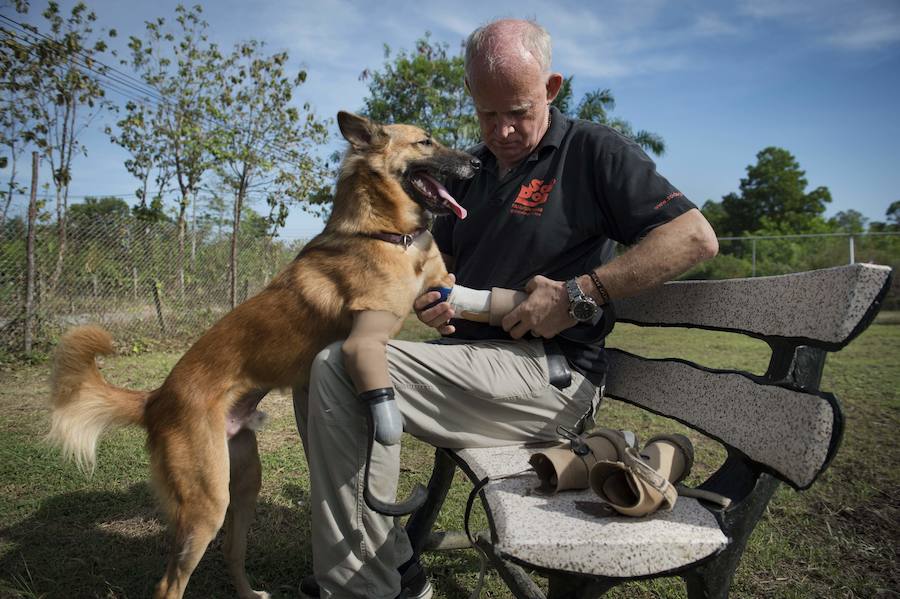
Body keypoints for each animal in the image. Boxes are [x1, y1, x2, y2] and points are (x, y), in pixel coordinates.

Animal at [46, 112, 482, 599]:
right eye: (426, 141)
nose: (479, 163)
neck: (389, 234)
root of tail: (156, 398)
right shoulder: (369, 332)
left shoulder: (442, 282)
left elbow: (464, 293)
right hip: (206, 501)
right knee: (169, 584)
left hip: (243, 483)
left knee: (230, 551)